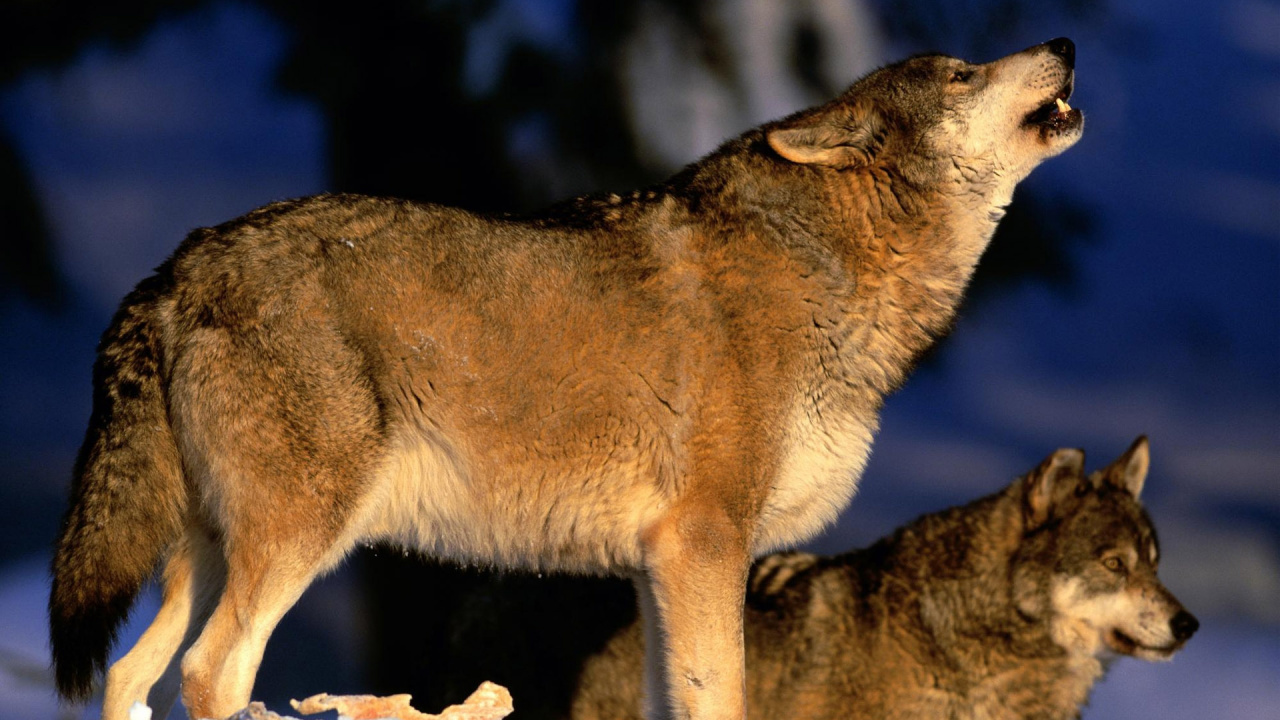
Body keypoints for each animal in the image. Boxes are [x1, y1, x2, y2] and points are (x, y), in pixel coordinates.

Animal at [50, 39, 1083, 720]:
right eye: (960, 73)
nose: (1065, 44)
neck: (829, 271)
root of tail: (178, 266)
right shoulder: (706, 544)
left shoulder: (659, 568)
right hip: (296, 542)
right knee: (209, 674)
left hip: (206, 556)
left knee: (131, 675)